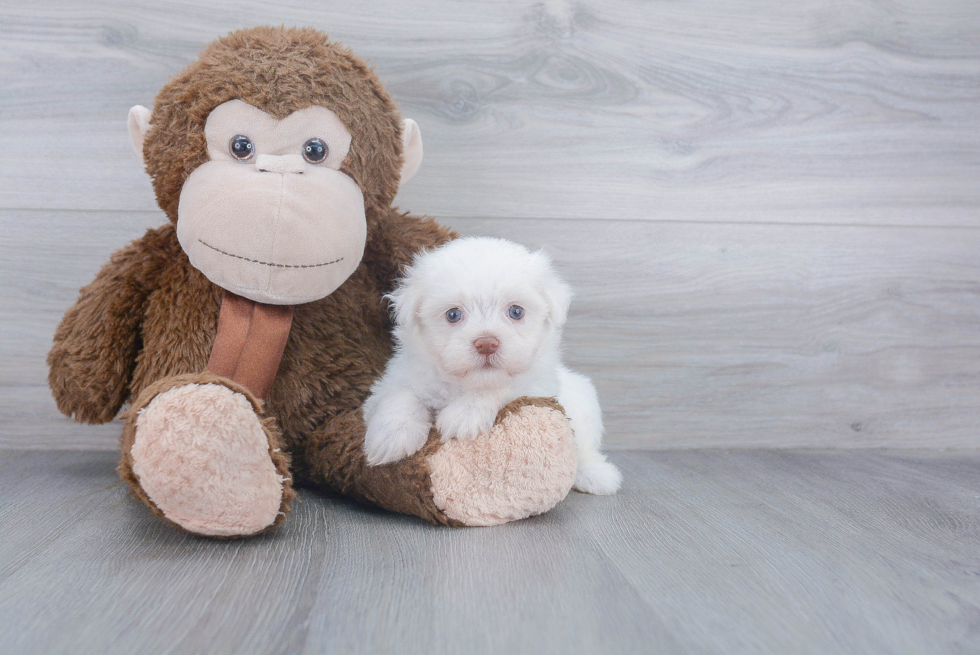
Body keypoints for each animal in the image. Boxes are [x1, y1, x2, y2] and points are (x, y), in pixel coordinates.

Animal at [360, 238, 620, 494]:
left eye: (515, 311)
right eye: (453, 315)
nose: (486, 343)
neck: (467, 382)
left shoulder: (538, 386)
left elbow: (502, 388)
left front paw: (464, 413)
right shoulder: (395, 380)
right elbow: (399, 395)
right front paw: (392, 435)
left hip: (585, 404)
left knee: (584, 447)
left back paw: (595, 475)